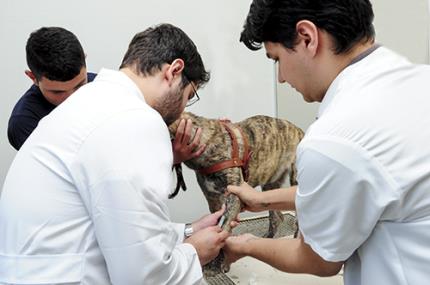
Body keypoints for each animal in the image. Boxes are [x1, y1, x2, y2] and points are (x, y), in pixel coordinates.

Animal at [167, 112, 302, 274]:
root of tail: (298, 129)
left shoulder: (234, 196)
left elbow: (224, 228)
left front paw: (220, 263)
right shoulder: (213, 199)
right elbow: (218, 227)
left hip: (296, 181)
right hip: (270, 185)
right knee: (276, 216)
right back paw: (269, 237)